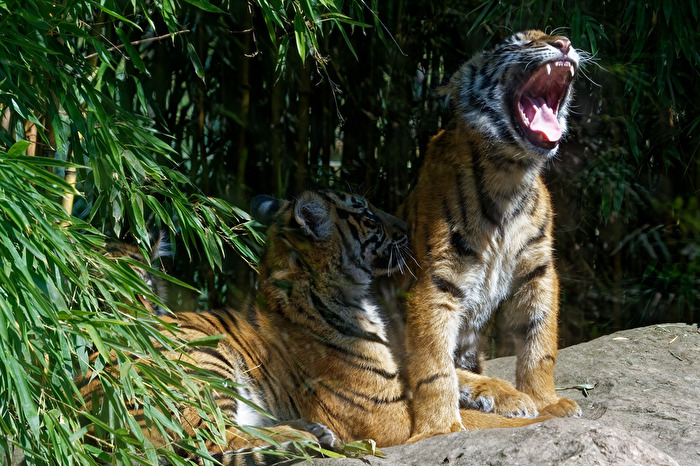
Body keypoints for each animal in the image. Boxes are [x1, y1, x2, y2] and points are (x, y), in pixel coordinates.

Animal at [396, 30, 584, 441]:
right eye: (515, 42)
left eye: (555, 35)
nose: (564, 43)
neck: (509, 173)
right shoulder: (436, 280)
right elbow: (433, 364)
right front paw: (440, 427)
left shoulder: (538, 269)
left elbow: (539, 343)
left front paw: (547, 401)